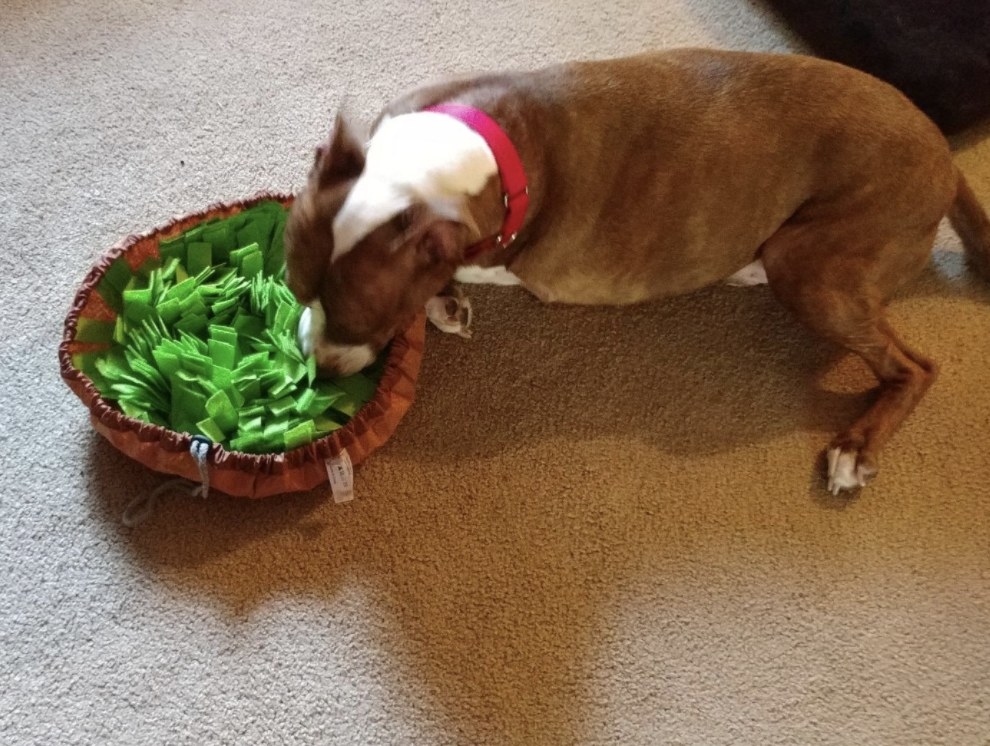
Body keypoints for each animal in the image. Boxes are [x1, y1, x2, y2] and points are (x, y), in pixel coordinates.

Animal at [280, 45, 990, 488]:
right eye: (295, 290)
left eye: (366, 320)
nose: (317, 366)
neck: (474, 146)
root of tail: (945, 157)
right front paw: (445, 299)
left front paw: (441, 294)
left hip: (810, 264)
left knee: (915, 367)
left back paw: (855, 448)